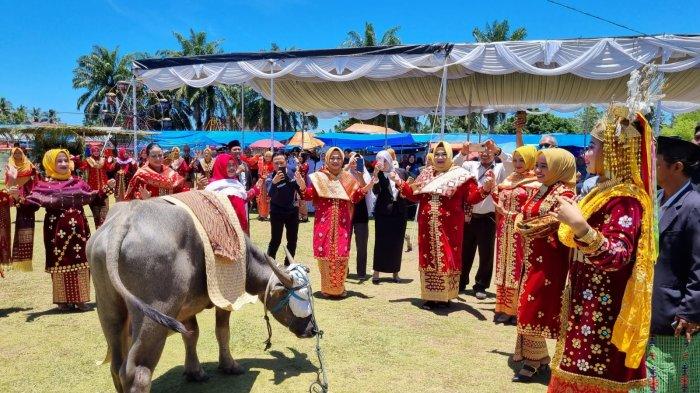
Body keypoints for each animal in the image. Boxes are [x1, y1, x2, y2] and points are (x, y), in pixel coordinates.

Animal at [86, 199, 316, 392]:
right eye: (298, 299)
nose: (312, 330)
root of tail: (122, 223)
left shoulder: (186, 308)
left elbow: (191, 335)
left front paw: (194, 371)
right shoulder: (225, 300)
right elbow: (222, 331)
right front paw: (230, 365)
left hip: (108, 307)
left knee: (116, 365)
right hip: (154, 315)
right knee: (136, 372)